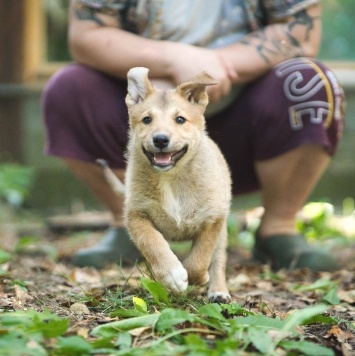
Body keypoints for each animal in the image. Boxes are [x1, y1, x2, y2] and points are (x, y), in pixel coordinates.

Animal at [102, 67, 234, 304]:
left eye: (180, 119)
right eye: (147, 119)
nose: (161, 139)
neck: (171, 179)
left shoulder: (213, 219)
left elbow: (200, 258)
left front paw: (198, 277)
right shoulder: (137, 215)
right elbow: (153, 244)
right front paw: (172, 275)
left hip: (223, 228)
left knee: (218, 259)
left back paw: (218, 291)